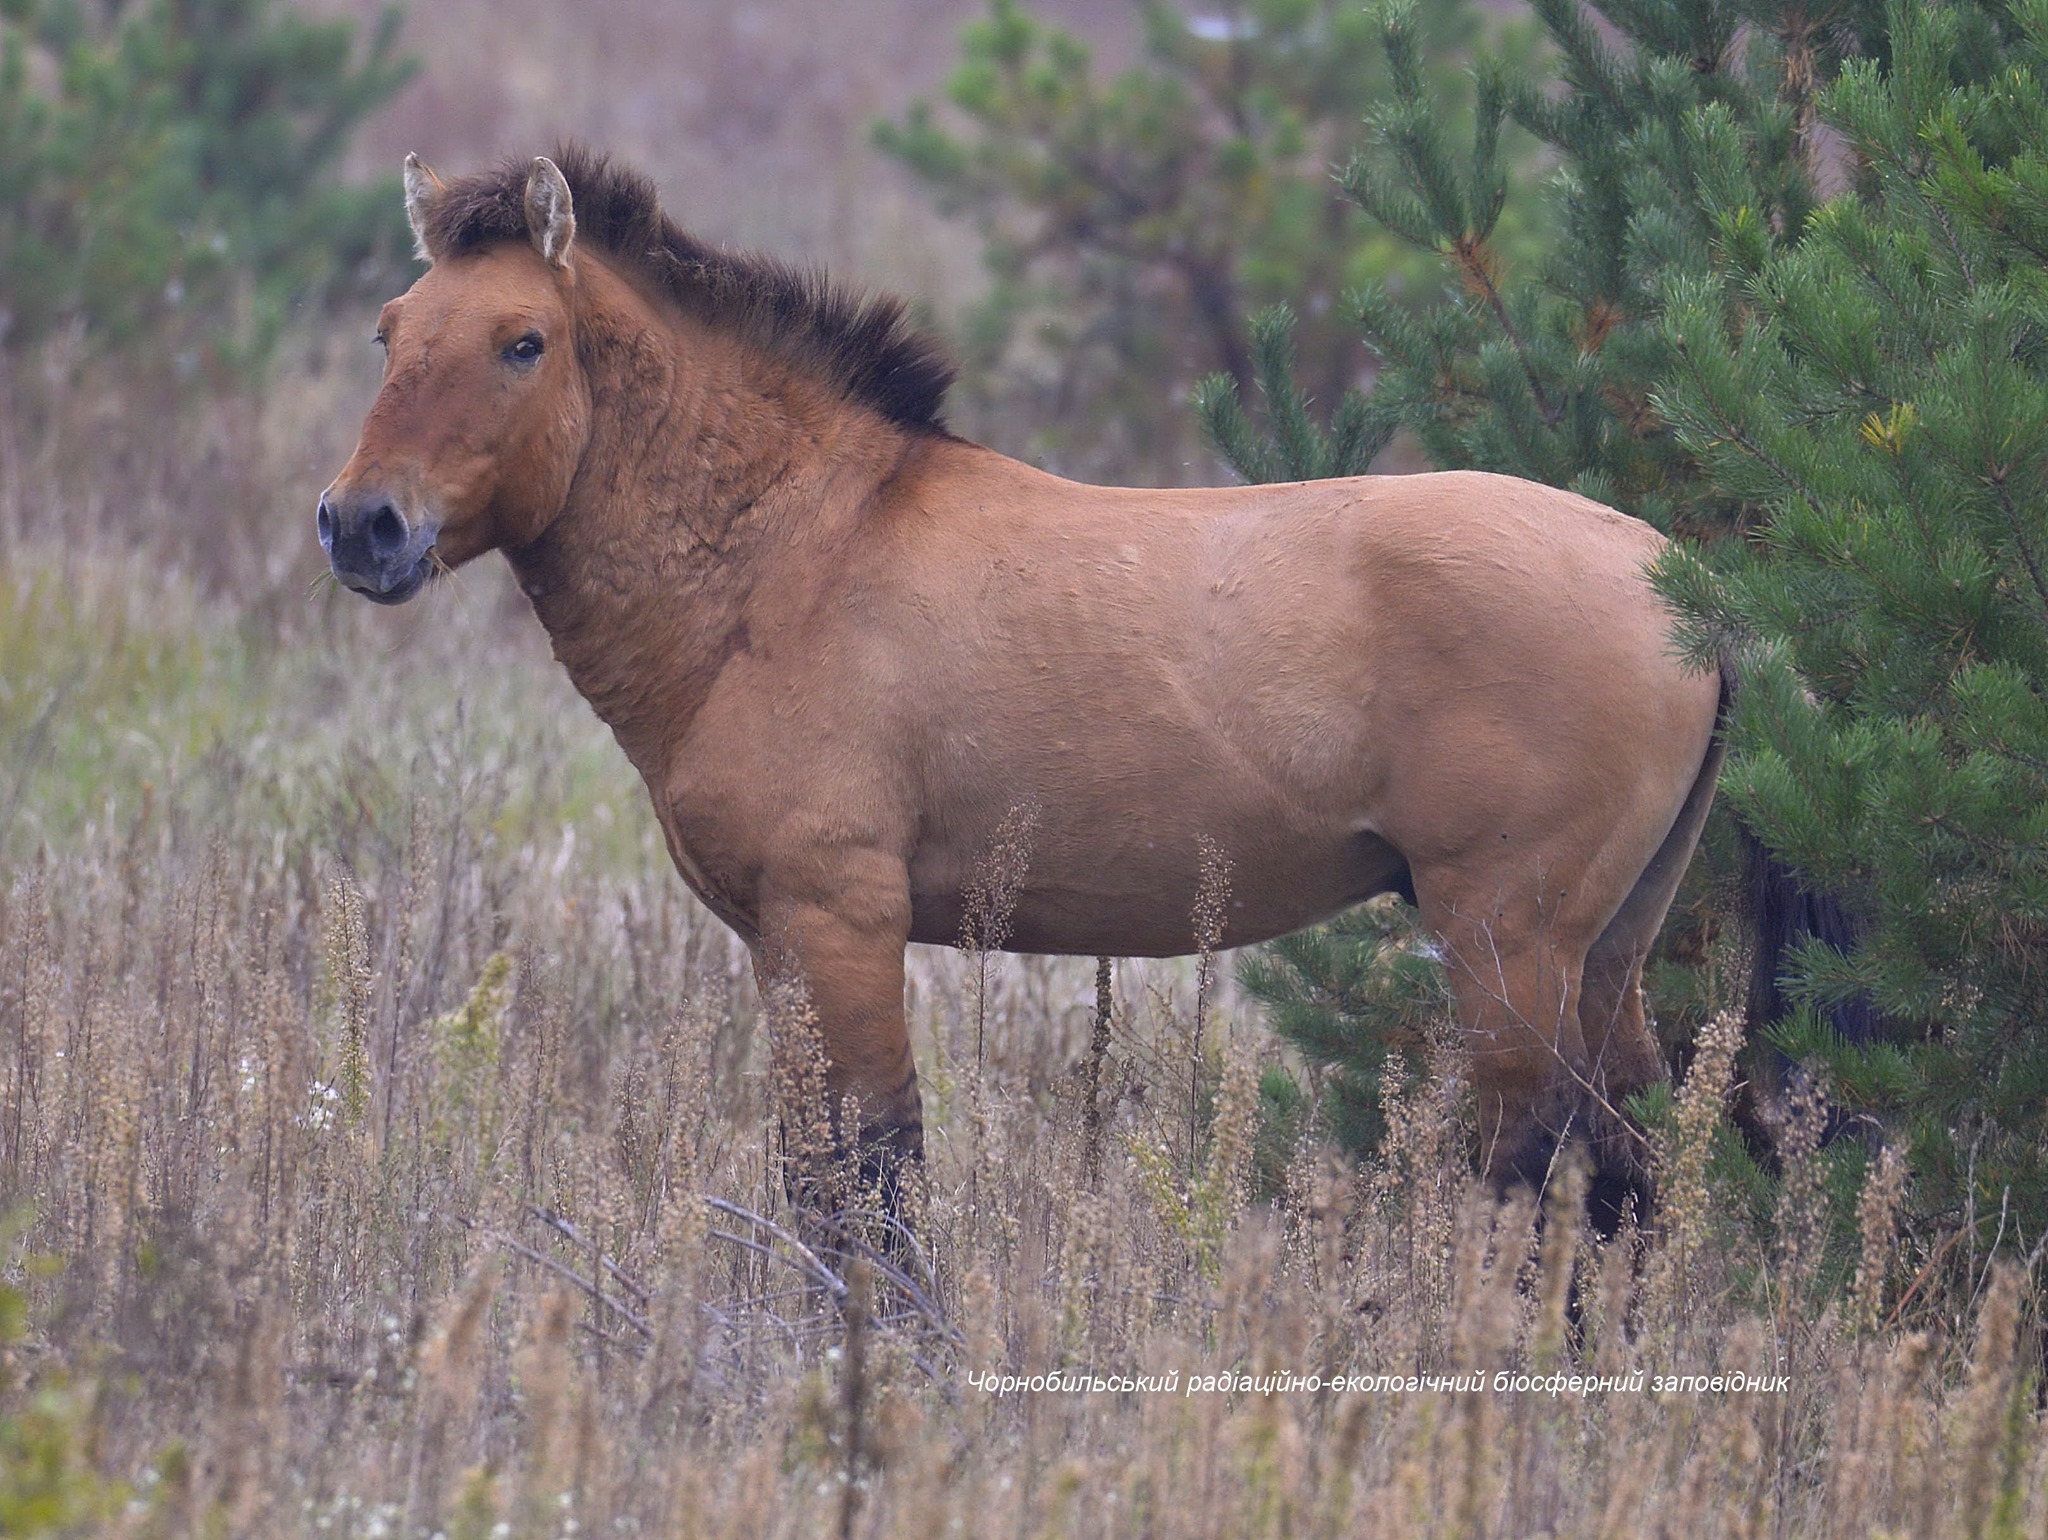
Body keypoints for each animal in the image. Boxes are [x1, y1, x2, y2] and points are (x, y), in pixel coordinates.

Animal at [323, 147, 1728, 1228]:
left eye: (523, 342)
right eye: (389, 331)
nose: (361, 526)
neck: (793, 555)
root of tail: (1683, 591)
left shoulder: (836, 921)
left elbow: (870, 1192)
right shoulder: (777, 948)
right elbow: (822, 1184)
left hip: (1508, 952)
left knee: (1538, 1181)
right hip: (1602, 957)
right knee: (1630, 1177)